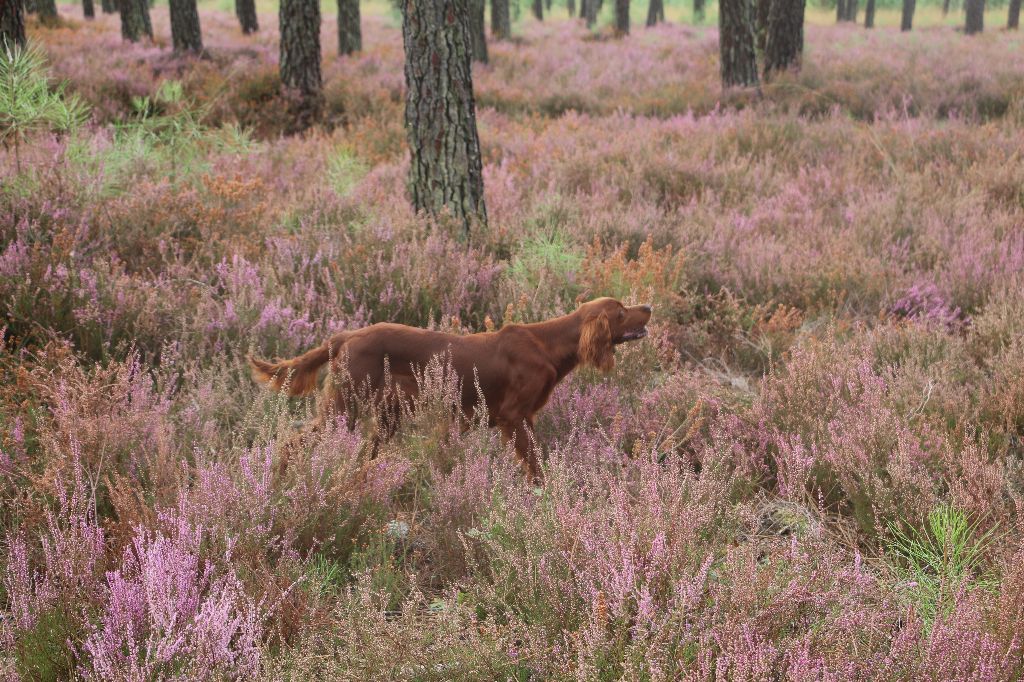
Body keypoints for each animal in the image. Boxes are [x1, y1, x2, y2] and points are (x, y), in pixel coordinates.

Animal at [247, 296, 647, 483]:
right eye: (621, 310)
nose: (649, 306)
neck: (547, 344)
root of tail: (346, 336)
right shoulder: (513, 417)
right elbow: (534, 464)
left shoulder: (520, 419)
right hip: (345, 408)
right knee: (293, 442)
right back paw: (280, 477)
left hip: (385, 416)